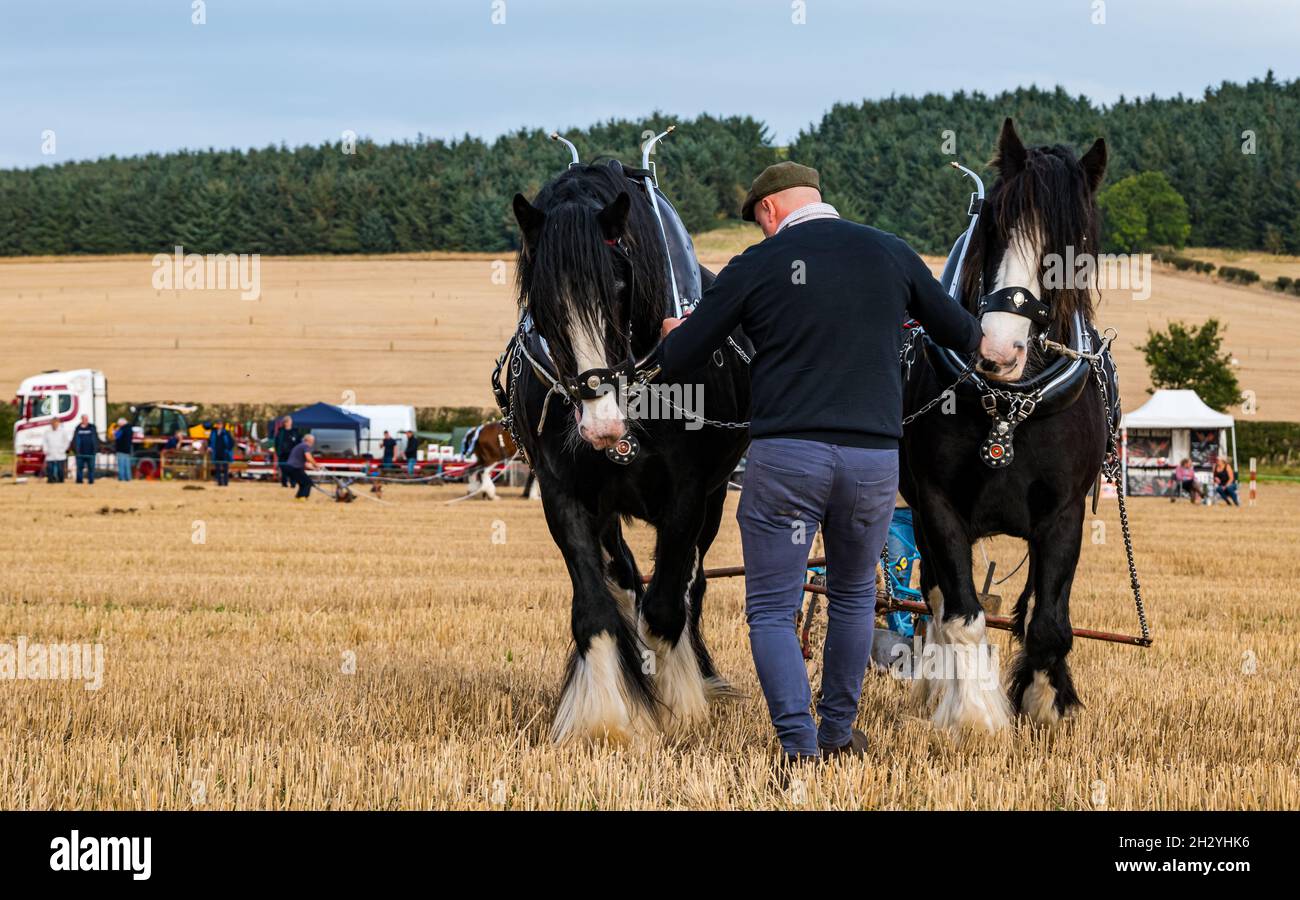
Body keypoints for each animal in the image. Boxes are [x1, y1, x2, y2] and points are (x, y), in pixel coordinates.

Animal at [503, 160, 750, 742]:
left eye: (619, 285)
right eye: (541, 304)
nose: (602, 426)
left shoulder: (688, 495)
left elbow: (664, 607)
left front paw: (679, 703)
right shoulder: (563, 494)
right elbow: (595, 610)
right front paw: (605, 718)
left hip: (712, 501)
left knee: (688, 586)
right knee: (623, 576)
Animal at [900, 118, 1112, 732]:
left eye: (1070, 246)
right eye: (992, 224)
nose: (996, 350)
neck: (1010, 407)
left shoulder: (1064, 514)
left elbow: (1050, 622)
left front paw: (1045, 703)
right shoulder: (937, 504)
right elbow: (960, 613)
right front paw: (975, 715)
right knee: (936, 601)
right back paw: (938, 691)